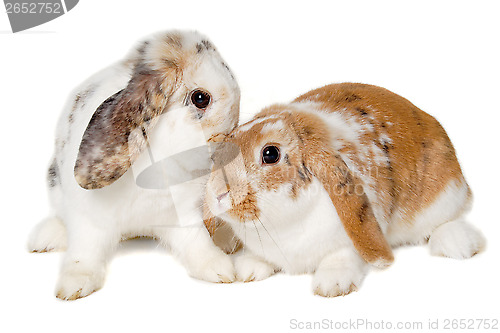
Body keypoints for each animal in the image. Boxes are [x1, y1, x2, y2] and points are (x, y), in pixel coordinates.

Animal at [28, 31, 241, 300]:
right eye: (200, 98)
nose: (228, 144)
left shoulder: (183, 215)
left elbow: (198, 243)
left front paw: (220, 269)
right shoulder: (89, 220)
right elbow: (84, 253)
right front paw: (74, 284)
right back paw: (45, 238)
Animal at [203, 82, 484, 296]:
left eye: (270, 154)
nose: (218, 194)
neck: (281, 225)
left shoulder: (350, 238)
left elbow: (343, 255)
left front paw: (331, 285)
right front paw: (249, 269)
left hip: (444, 195)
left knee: (447, 221)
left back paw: (457, 244)